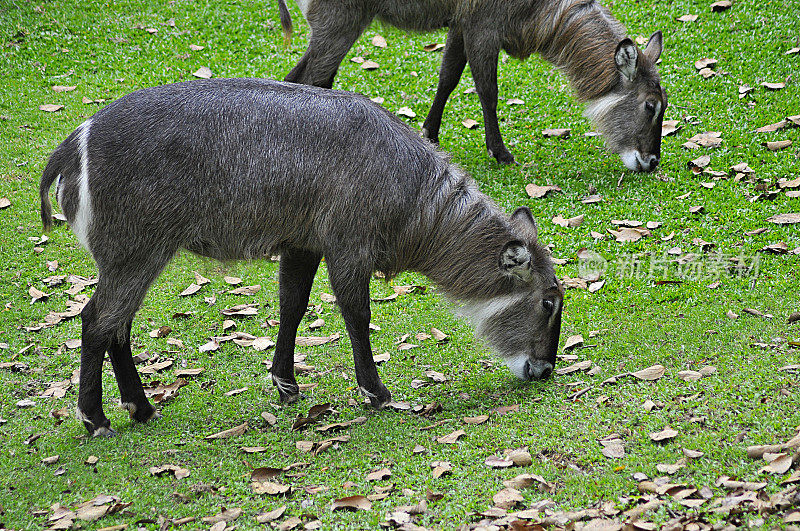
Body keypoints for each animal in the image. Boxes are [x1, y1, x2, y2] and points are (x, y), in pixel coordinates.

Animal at [39, 78, 564, 436]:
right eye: (549, 302)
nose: (543, 371)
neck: (416, 198)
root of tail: (72, 145)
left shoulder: (303, 243)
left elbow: (292, 305)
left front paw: (285, 383)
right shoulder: (349, 245)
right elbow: (357, 315)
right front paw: (376, 392)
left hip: (136, 257)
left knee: (118, 327)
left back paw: (142, 407)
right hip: (134, 253)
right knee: (96, 321)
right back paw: (95, 417)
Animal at [278, 0, 664, 171]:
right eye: (650, 105)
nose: (651, 161)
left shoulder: (460, 24)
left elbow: (447, 77)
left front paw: (430, 135)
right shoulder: (483, 25)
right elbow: (488, 91)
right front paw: (501, 152)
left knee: (295, 77)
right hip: (339, 21)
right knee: (315, 80)